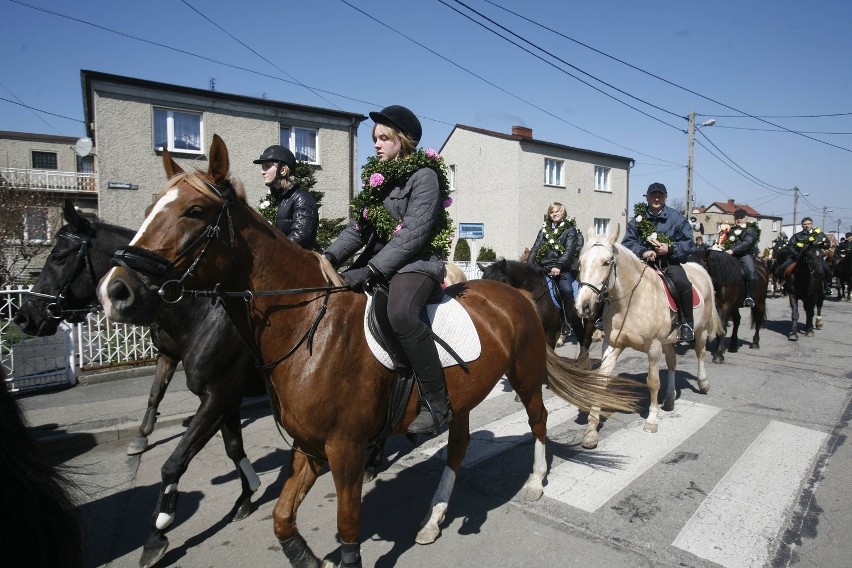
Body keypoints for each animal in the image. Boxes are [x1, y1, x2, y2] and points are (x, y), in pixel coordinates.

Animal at [11, 201, 264, 568]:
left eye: (58, 256)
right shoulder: (221, 392)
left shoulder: (218, 394)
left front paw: (157, 533)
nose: (24, 316)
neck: (206, 310)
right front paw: (245, 497)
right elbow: (232, 447)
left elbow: (174, 462)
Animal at [95, 136, 640, 568]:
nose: (115, 291)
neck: (308, 329)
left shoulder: (343, 449)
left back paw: (534, 482)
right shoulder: (308, 447)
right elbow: (281, 518)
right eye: (148, 209)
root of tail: (517, 295)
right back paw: (434, 519)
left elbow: (348, 527)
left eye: (194, 211)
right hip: (462, 398)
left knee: (539, 421)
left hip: (525, 376)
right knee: (459, 447)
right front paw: (306, 555)